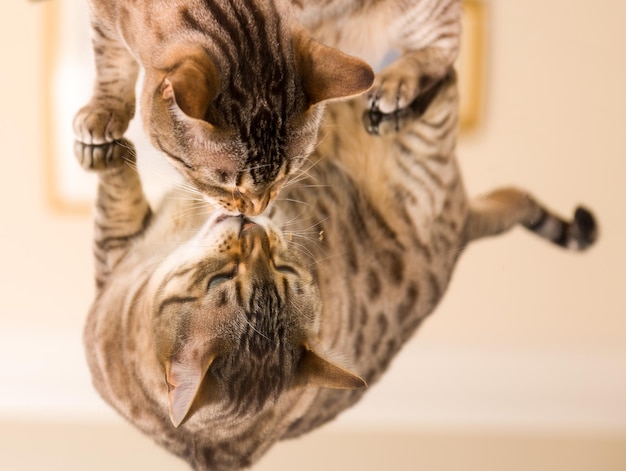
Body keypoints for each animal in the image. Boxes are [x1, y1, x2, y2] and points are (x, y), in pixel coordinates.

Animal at [74, 71, 596, 471]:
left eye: (281, 269)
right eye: (223, 279)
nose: (253, 232)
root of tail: (460, 234)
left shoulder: (119, 242)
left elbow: (121, 179)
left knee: (435, 86)